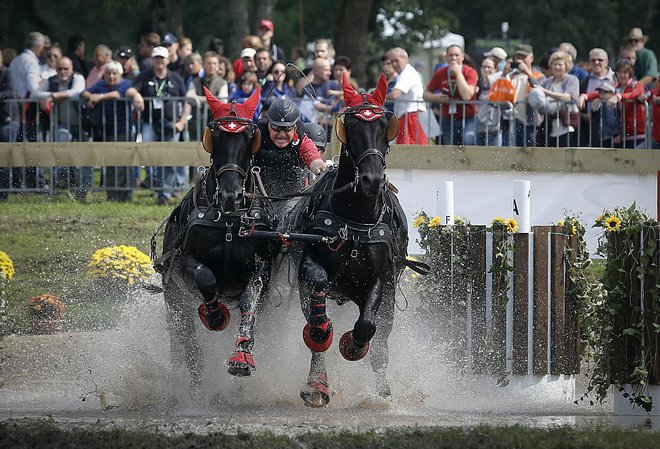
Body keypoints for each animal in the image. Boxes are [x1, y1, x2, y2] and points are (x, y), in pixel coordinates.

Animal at [155, 86, 274, 384]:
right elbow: (205, 278)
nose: (231, 195)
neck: (230, 220)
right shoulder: (186, 262)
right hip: (174, 296)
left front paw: (241, 356)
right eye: (215, 138)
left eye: (249, 137)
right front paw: (216, 315)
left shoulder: (262, 267)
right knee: (189, 347)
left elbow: (249, 299)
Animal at [284, 74, 418, 406]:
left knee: (381, 342)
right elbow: (318, 320)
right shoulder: (309, 264)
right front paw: (318, 379)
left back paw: (382, 392)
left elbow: (367, 326)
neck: (356, 218)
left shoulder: (381, 279)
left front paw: (353, 346)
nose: (371, 179)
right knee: (316, 331)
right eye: (351, 126)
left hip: (390, 298)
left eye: (385, 126)